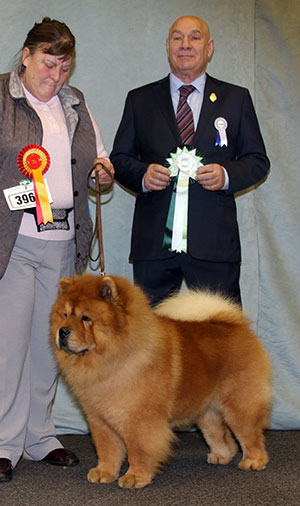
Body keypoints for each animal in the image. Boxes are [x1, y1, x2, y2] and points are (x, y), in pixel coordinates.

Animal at [51, 274, 272, 488]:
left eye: (85, 318)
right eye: (65, 315)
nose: (63, 331)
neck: (109, 361)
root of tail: (235, 323)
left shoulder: (139, 420)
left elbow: (138, 451)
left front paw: (135, 478)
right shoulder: (99, 419)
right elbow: (107, 450)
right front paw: (103, 473)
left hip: (239, 405)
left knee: (250, 435)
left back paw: (253, 462)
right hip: (206, 411)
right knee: (220, 435)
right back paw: (220, 457)